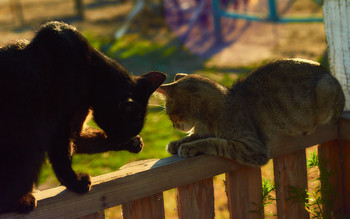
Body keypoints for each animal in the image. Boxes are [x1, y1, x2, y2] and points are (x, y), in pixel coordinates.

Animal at [0, 21, 167, 213]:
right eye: (124, 129)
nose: (125, 139)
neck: (91, 70)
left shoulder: (76, 130)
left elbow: (92, 141)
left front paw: (135, 143)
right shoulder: (60, 128)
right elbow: (62, 159)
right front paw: (75, 182)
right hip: (28, 150)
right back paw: (23, 201)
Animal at [158, 58, 344, 166]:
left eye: (168, 113)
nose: (174, 126)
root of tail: (328, 72)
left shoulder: (252, 147)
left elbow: (215, 142)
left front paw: (189, 146)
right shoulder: (202, 131)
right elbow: (194, 136)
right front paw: (176, 143)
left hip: (325, 88)